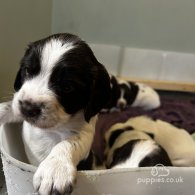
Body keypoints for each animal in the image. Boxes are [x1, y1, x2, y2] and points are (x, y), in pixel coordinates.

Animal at [0, 32, 110, 194]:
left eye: (67, 87)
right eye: (27, 70)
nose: (28, 108)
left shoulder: (85, 131)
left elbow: (69, 142)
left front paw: (54, 169)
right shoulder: (18, 109)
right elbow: (9, 107)